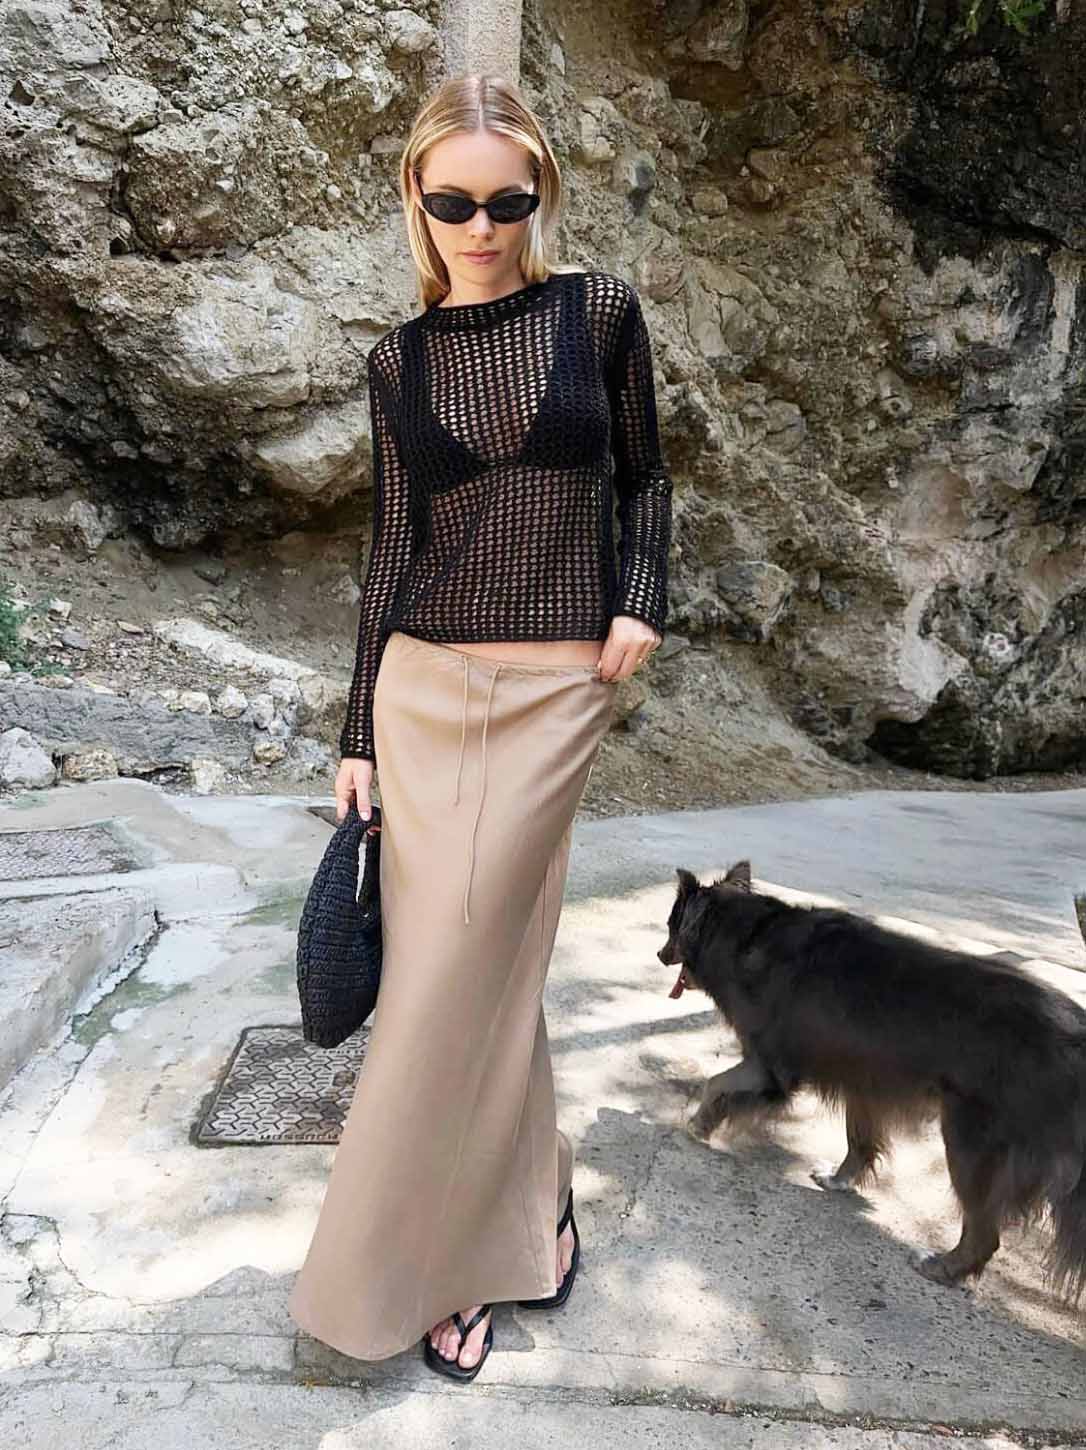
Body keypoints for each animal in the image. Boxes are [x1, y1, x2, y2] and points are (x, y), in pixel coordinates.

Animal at [657, 860, 1086, 1295]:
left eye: (671, 926)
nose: (659, 955)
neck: (745, 934)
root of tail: (1075, 1040)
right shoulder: (865, 1084)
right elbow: (859, 1140)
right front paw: (838, 1179)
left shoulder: (769, 1067)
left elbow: (716, 1083)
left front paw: (698, 1124)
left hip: (971, 1143)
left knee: (984, 1232)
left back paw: (941, 1267)